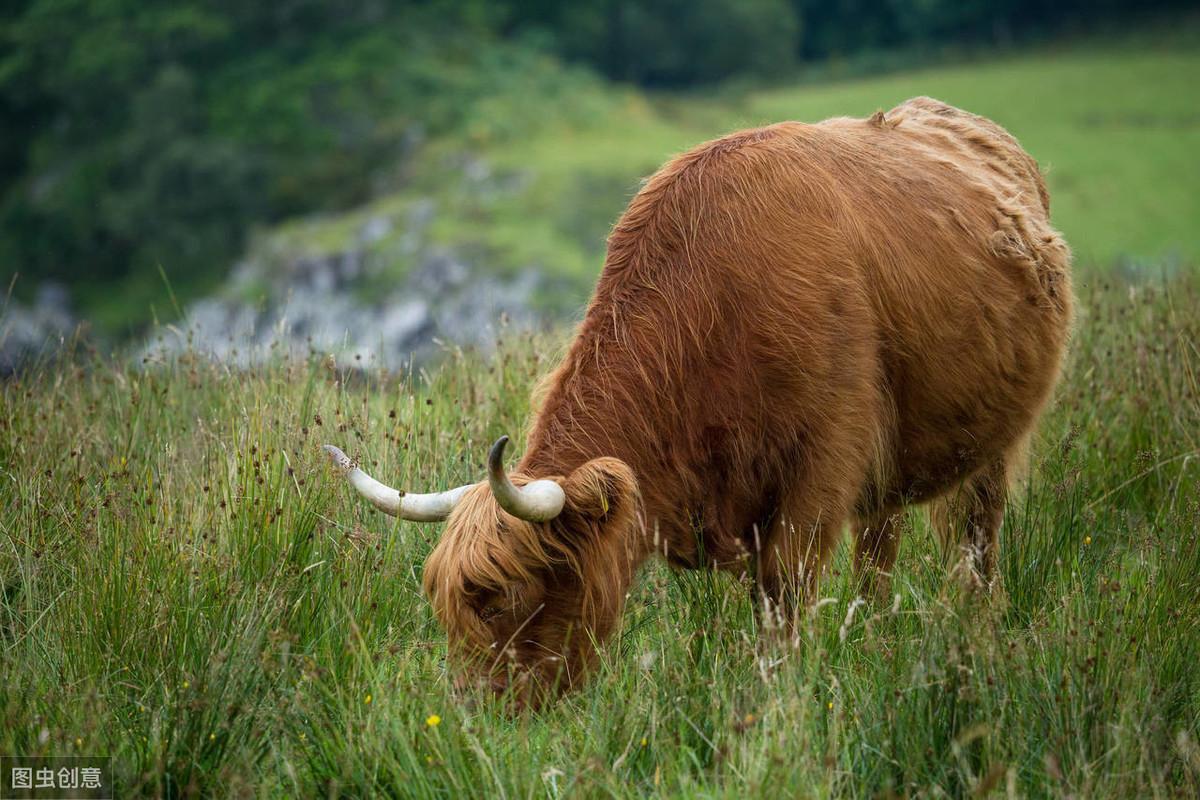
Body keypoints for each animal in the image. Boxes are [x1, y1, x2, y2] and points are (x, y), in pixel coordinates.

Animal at [324, 97, 1075, 705]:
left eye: (511, 596)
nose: (476, 714)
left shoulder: (821, 472)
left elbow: (782, 602)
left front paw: (778, 706)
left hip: (992, 450)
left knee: (975, 546)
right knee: (880, 557)